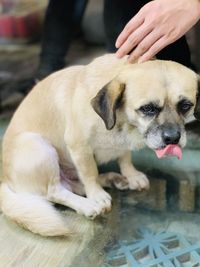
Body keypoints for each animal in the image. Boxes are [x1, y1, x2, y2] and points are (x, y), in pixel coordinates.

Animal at [0, 54, 200, 237]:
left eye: (185, 106)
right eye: (148, 108)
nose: (173, 138)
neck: (123, 123)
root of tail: (5, 179)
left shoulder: (122, 146)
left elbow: (125, 159)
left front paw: (131, 176)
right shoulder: (79, 146)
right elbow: (90, 174)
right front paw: (96, 195)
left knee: (72, 185)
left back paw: (113, 180)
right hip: (39, 146)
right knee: (55, 191)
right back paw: (88, 204)